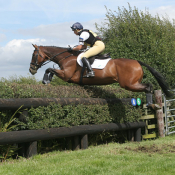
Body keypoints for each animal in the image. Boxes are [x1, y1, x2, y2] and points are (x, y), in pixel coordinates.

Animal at [29, 44, 173, 105]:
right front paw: (47, 80)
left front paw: (45, 80)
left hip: (129, 84)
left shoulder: (66, 75)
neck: (66, 57)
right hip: (132, 83)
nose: (31, 70)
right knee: (149, 86)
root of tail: (137, 61)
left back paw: (149, 104)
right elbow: (51, 70)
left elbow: (49, 69)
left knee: (148, 86)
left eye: (34, 55)